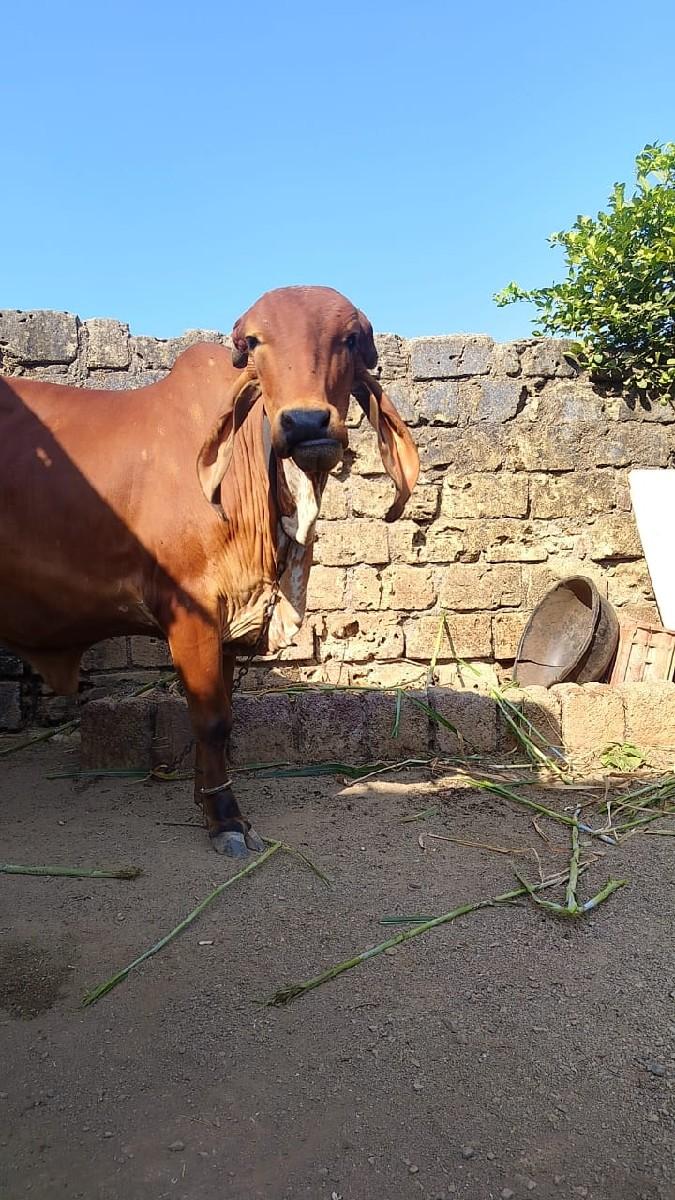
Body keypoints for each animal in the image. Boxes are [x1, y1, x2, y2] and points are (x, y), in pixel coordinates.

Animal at [0, 286, 419, 855]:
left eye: (350, 338)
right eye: (255, 342)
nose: (306, 423)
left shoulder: (231, 621)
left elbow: (223, 715)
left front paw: (208, 803)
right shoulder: (191, 612)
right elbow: (212, 720)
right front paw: (224, 819)